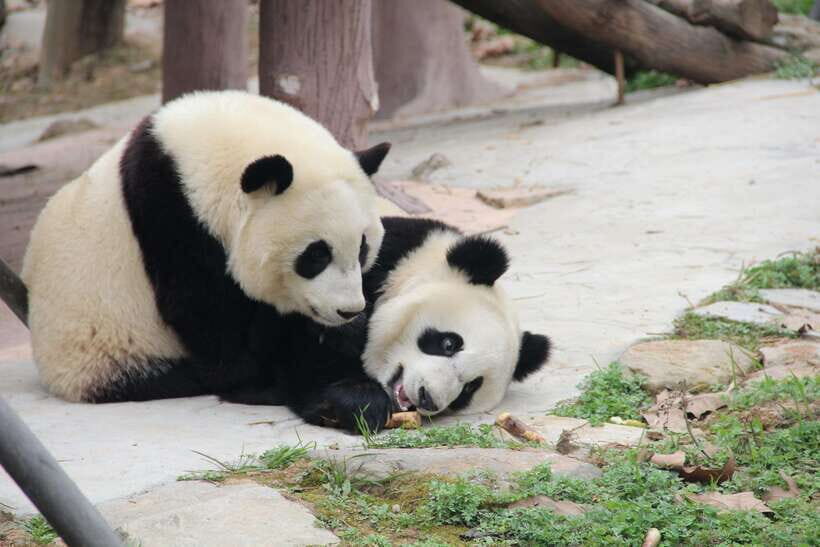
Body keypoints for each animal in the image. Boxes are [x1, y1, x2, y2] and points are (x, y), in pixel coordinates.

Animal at [21, 90, 391, 404]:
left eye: (362, 248)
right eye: (315, 255)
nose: (348, 310)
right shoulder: (170, 216)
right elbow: (201, 311)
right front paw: (255, 369)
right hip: (106, 350)